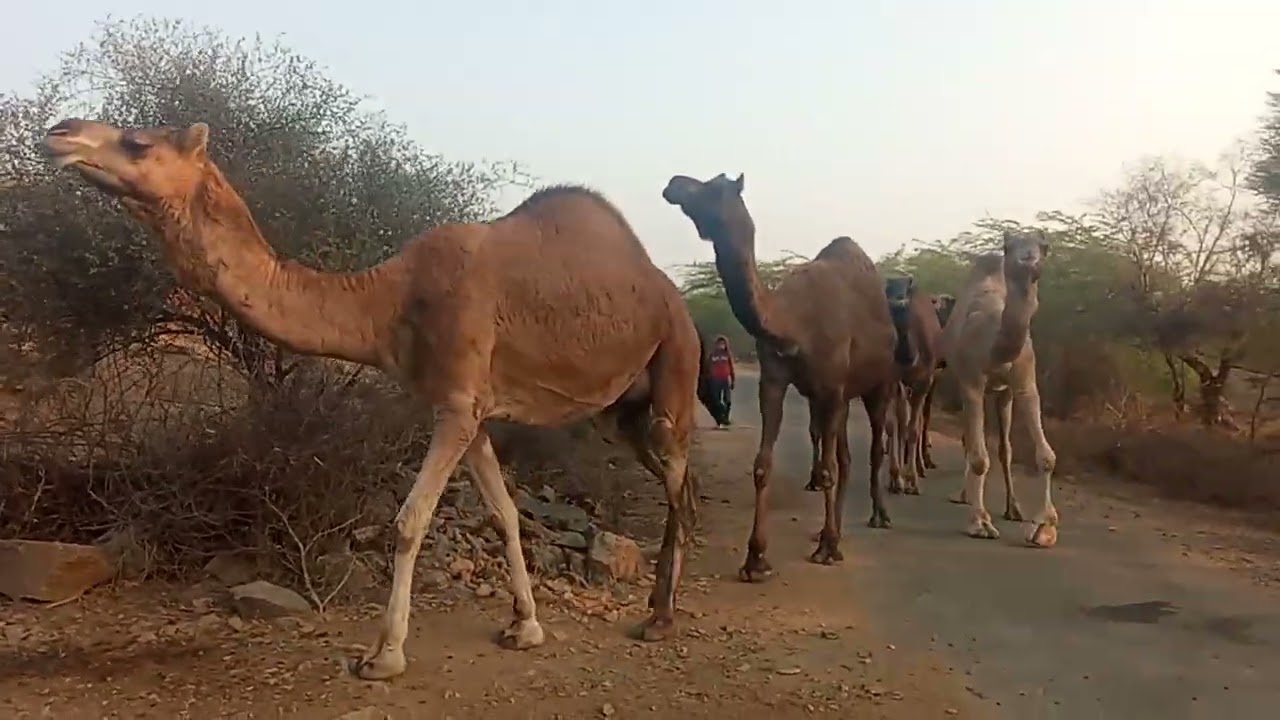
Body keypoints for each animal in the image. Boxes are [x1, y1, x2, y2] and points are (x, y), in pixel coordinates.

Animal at [43, 118, 702, 680]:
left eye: (137, 143)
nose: (60, 132)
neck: (389, 303)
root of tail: (671, 295)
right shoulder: (470, 409)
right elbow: (504, 513)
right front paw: (525, 625)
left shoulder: (457, 403)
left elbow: (410, 520)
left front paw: (383, 654)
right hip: (622, 409)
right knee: (672, 475)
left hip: (677, 357)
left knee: (675, 474)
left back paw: (661, 617)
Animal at [662, 173, 897, 579]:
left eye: (714, 186)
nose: (674, 183)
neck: (793, 326)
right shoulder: (775, 380)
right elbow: (763, 465)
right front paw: (756, 558)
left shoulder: (831, 388)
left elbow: (827, 469)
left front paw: (825, 549)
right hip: (840, 396)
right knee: (846, 458)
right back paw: (832, 532)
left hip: (877, 385)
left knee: (873, 447)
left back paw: (876, 517)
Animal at [882, 276, 943, 496]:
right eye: (887, 291)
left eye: (905, 292)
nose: (897, 303)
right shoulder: (892, 378)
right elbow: (893, 426)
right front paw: (896, 477)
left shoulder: (925, 381)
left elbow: (913, 429)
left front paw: (912, 481)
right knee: (901, 422)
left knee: (913, 421)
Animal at [940, 230, 1056, 546]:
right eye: (1008, 247)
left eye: (1044, 247)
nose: (1029, 261)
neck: (995, 348)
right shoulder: (971, 384)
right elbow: (979, 457)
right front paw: (980, 523)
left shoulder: (1026, 383)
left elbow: (1046, 456)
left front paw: (1044, 526)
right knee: (971, 443)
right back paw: (964, 496)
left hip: (1003, 395)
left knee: (1005, 449)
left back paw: (1013, 508)